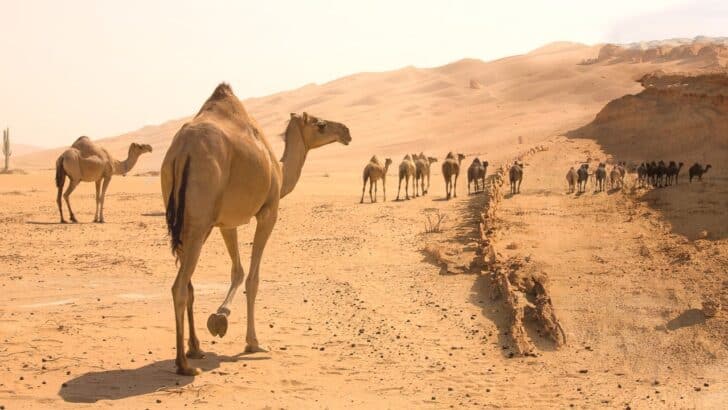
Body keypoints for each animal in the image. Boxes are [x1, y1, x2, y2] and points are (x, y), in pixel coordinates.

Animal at [161, 83, 351, 376]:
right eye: (320, 124)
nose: (346, 131)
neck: (279, 171)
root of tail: (183, 150)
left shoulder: (226, 222)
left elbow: (237, 271)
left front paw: (219, 319)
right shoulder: (268, 212)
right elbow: (253, 278)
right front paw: (253, 342)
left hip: (186, 222)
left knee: (188, 284)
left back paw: (195, 349)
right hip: (199, 221)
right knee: (179, 287)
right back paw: (184, 365)